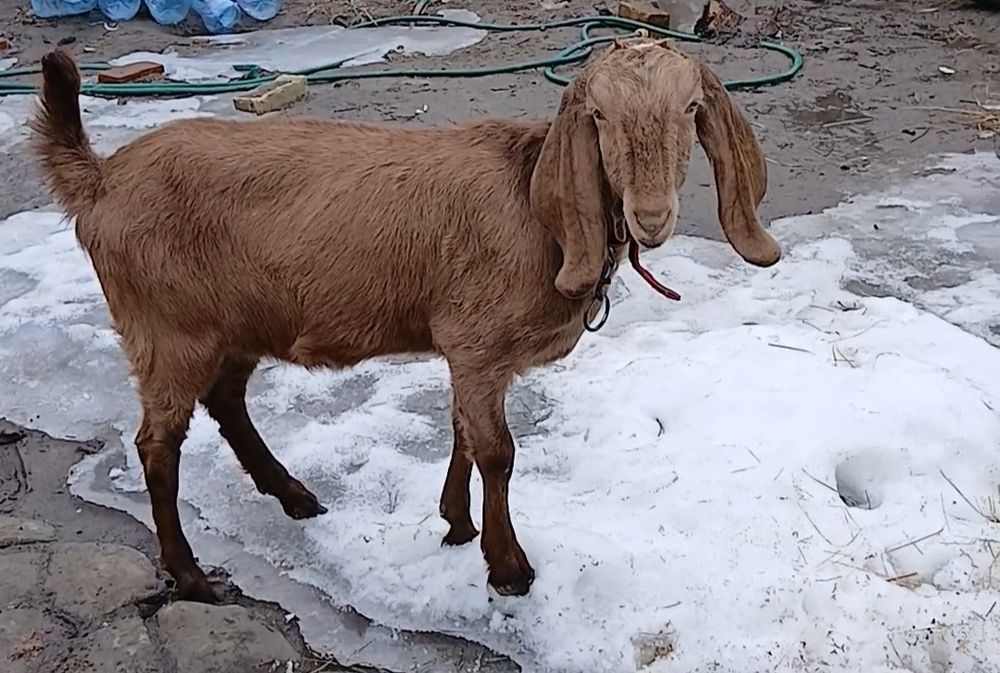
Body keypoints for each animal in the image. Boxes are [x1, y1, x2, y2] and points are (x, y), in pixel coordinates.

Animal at [30, 38, 780, 603]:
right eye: (596, 115)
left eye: (691, 109)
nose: (652, 217)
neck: (537, 211)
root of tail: (99, 181)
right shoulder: (475, 343)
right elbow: (498, 452)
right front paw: (509, 570)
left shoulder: (470, 353)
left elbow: (463, 435)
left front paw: (456, 525)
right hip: (168, 326)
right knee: (157, 444)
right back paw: (190, 574)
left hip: (236, 320)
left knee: (227, 400)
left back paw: (294, 496)